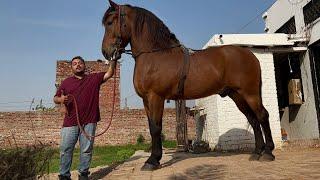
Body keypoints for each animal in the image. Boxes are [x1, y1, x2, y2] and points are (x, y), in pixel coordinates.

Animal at [102, 0, 276, 170]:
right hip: (237, 95)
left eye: (110, 22)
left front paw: (152, 161)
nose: (106, 52)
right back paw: (257, 152)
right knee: (253, 119)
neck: (155, 55)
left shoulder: (155, 97)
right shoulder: (146, 100)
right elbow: (152, 126)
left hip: (250, 93)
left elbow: (156, 128)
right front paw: (154, 159)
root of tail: (250, 55)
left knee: (262, 115)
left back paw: (268, 152)